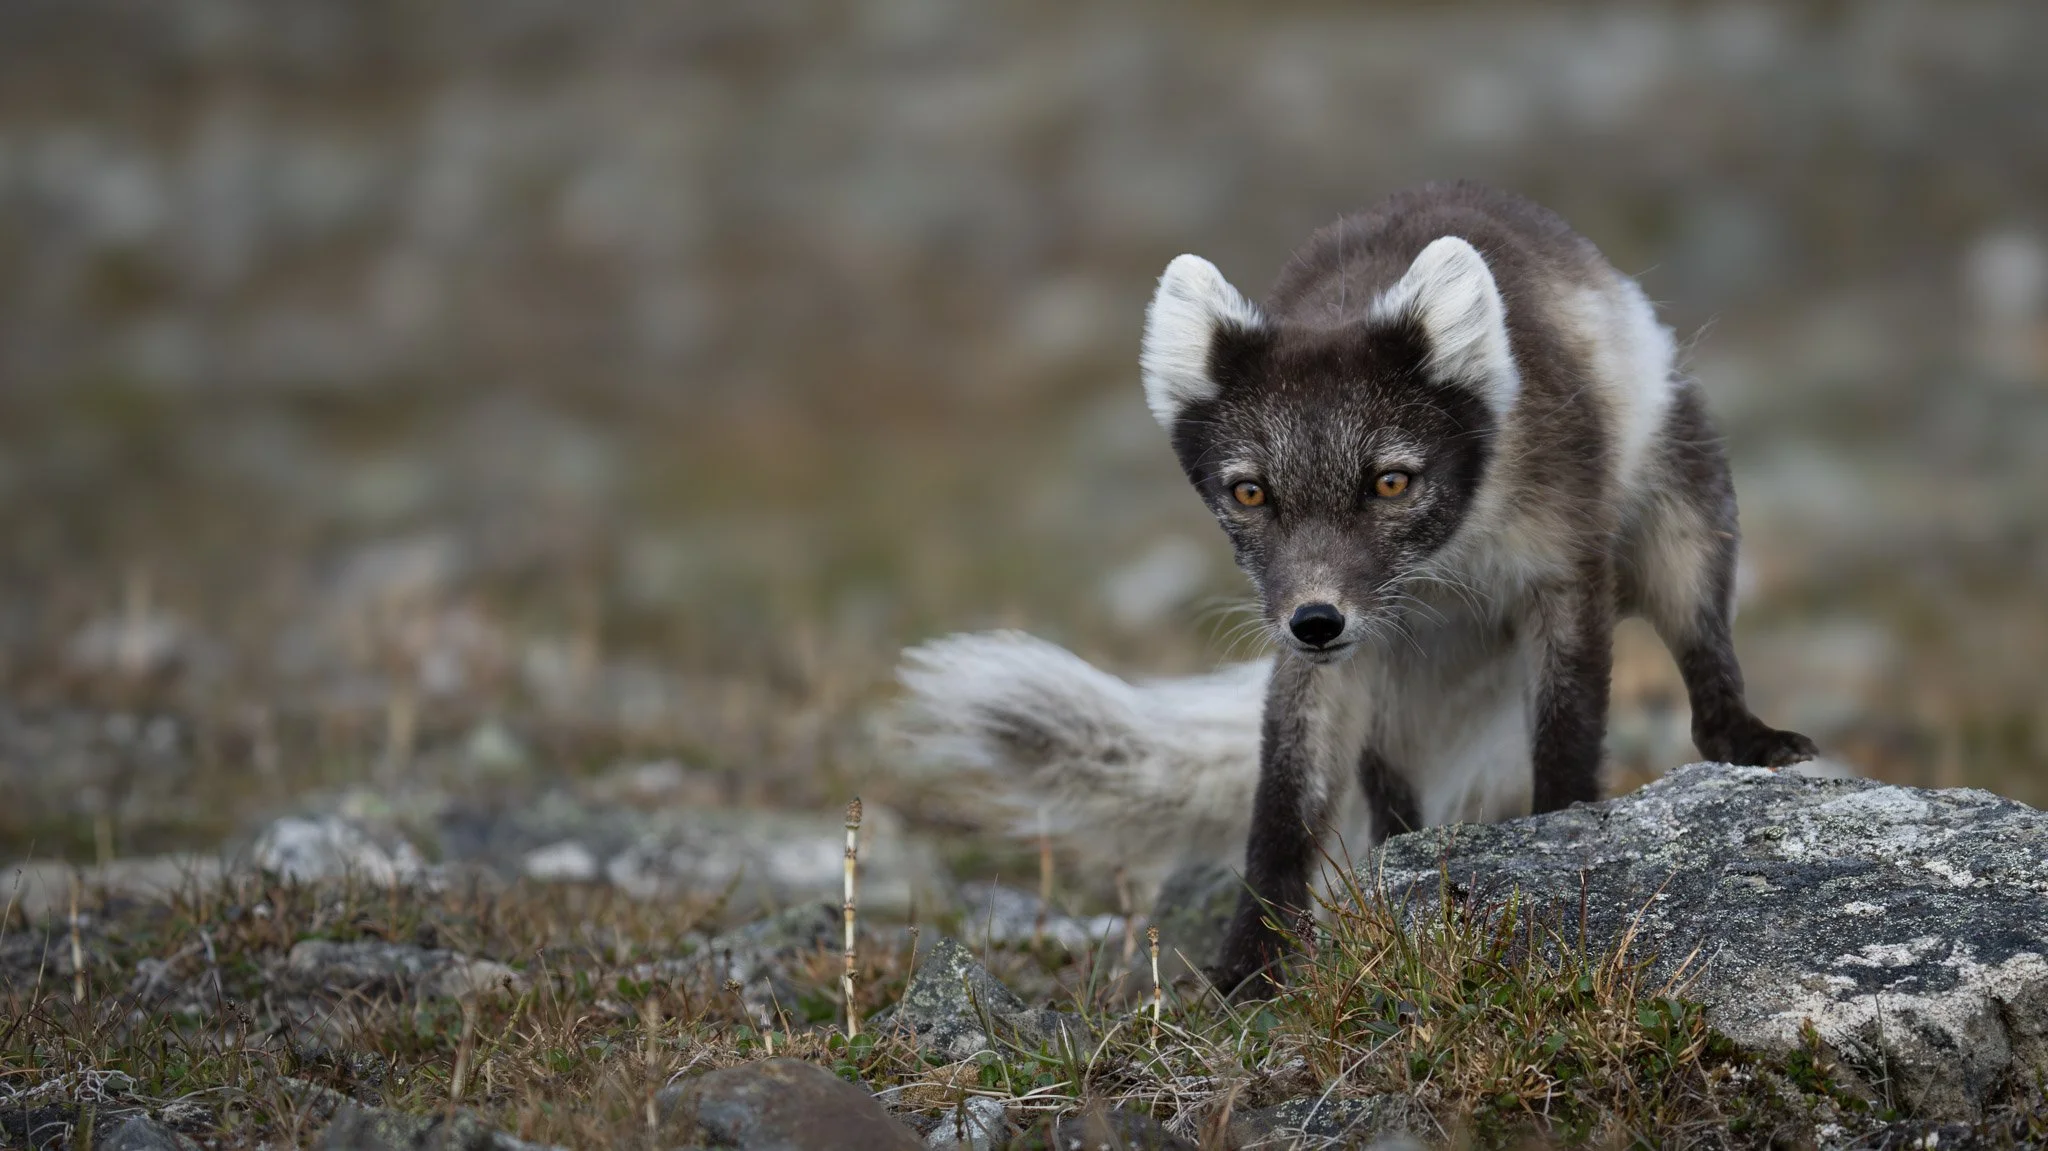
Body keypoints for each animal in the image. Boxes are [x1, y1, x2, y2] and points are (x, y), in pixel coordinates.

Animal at [896, 182, 1816, 993]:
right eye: (1249, 492)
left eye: (1390, 482)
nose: (1315, 619)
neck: (1445, 572)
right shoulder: (1324, 654)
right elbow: (1284, 803)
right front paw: (1251, 964)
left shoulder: (1563, 577)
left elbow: (1568, 733)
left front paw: (1557, 837)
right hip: (1394, 693)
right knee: (1387, 793)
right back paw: (1392, 867)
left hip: (1681, 508)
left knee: (1703, 639)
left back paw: (1749, 735)